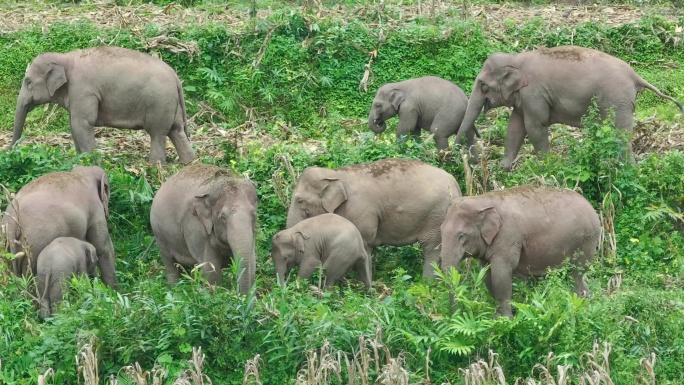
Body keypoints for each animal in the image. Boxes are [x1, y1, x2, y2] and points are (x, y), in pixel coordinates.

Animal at [10, 45, 195, 164]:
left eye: (28, 82)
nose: (10, 151)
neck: (63, 57)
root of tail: (175, 77)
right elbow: (74, 125)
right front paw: (80, 159)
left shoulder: (83, 89)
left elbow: (82, 123)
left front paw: (91, 161)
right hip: (171, 104)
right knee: (176, 131)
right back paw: (188, 163)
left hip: (159, 102)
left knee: (158, 133)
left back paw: (155, 165)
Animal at [149, 161, 256, 292]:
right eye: (223, 217)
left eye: (253, 214)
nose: (242, 295)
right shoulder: (195, 227)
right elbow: (210, 267)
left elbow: (252, 262)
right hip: (159, 233)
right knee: (170, 263)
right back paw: (174, 290)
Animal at [286, 158, 462, 278]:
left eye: (300, 201)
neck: (334, 174)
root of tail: (456, 185)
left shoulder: (359, 211)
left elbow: (364, 244)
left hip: (436, 215)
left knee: (431, 248)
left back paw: (428, 284)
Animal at [440, 184, 600, 316]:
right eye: (440, 230)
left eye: (461, 236)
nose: (457, 314)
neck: (482, 200)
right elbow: (486, 274)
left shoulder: (507, 237)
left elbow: (501, 274)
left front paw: (504, 319)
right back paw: (588, 300)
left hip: (587, 241)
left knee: (576, 272)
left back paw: (577, 305)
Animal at [454, 45, 684, 170]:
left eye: (482, 85)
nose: (455, 155)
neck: (515, 57)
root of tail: (635, 76)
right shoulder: (524, 98)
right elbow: (515, 127)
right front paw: (503, 169)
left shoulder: (534, 93)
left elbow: (535, 126)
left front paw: (545, 167)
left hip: (617, 100)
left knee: (620, 133)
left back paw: (628, 170)